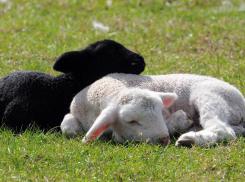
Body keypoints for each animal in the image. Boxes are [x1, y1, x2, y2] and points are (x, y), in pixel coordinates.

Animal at [60, 72, 245, 146]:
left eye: (159, 111)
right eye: (131, 121)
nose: (164, 139)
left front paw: (179, 121)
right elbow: (67, 126)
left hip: (211, 96)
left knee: (223, 130)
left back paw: (190, 139)